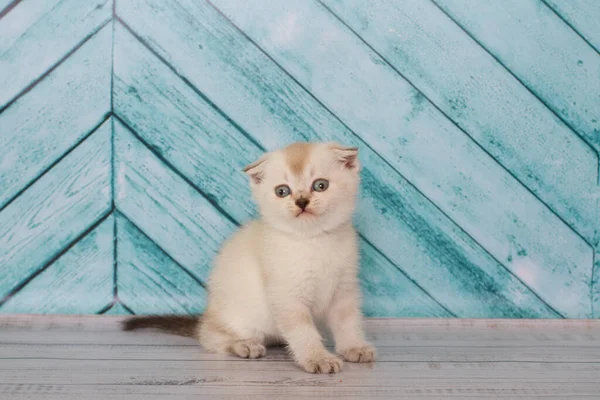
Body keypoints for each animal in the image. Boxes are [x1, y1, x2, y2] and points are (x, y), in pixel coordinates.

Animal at [123, 142, 376, 374]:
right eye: (282, 191)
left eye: (320, 185)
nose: (301, 202)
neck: (314, 240)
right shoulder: (287, 295)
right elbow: (304, 332)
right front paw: (318, 358)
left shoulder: (344, 290)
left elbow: (348, 323)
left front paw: (354, 347)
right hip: (238, 318)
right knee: (210, 336)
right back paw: (243, 346)